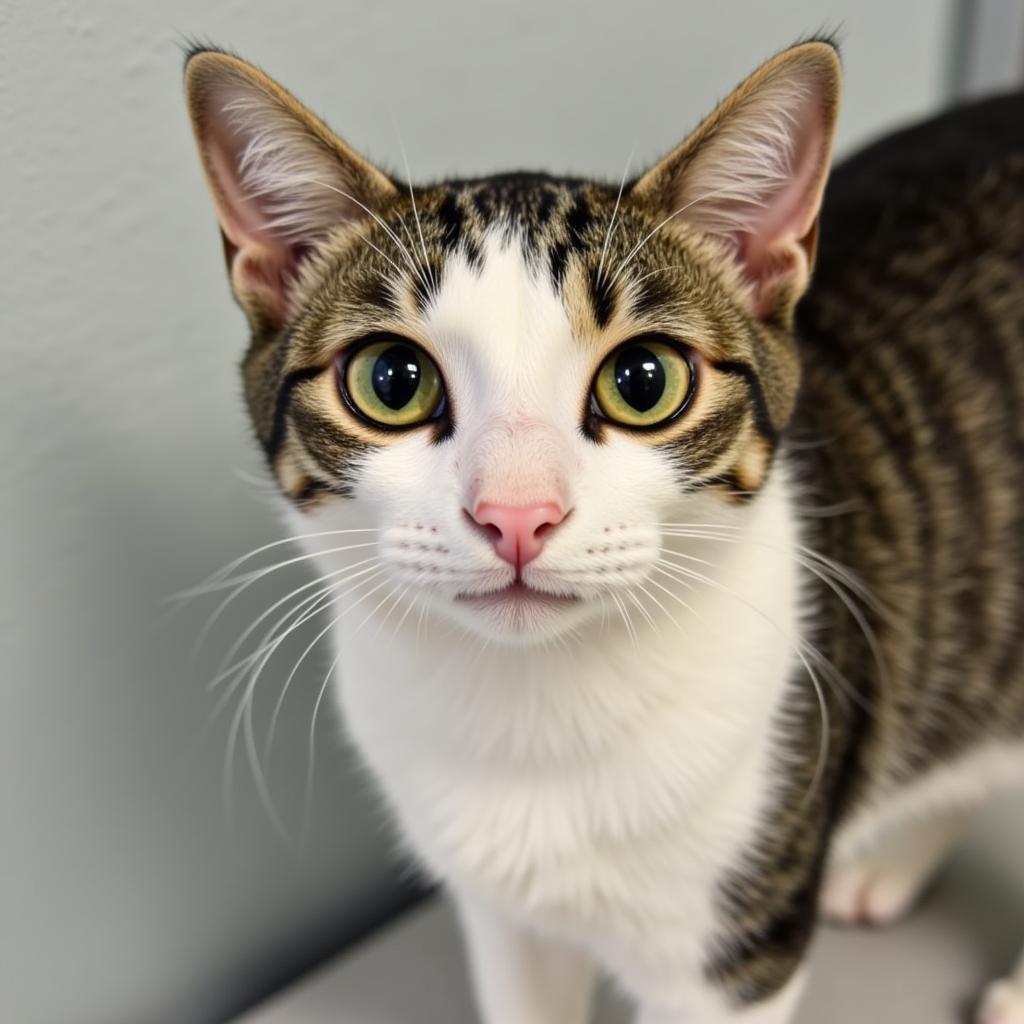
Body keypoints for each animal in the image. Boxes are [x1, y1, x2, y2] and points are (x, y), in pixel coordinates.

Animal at [184, 36, 1024, 1019]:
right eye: (392, 380)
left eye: (644, 380)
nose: (516, 513)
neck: (536, 715)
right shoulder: (501, 915)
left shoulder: (732, 954)